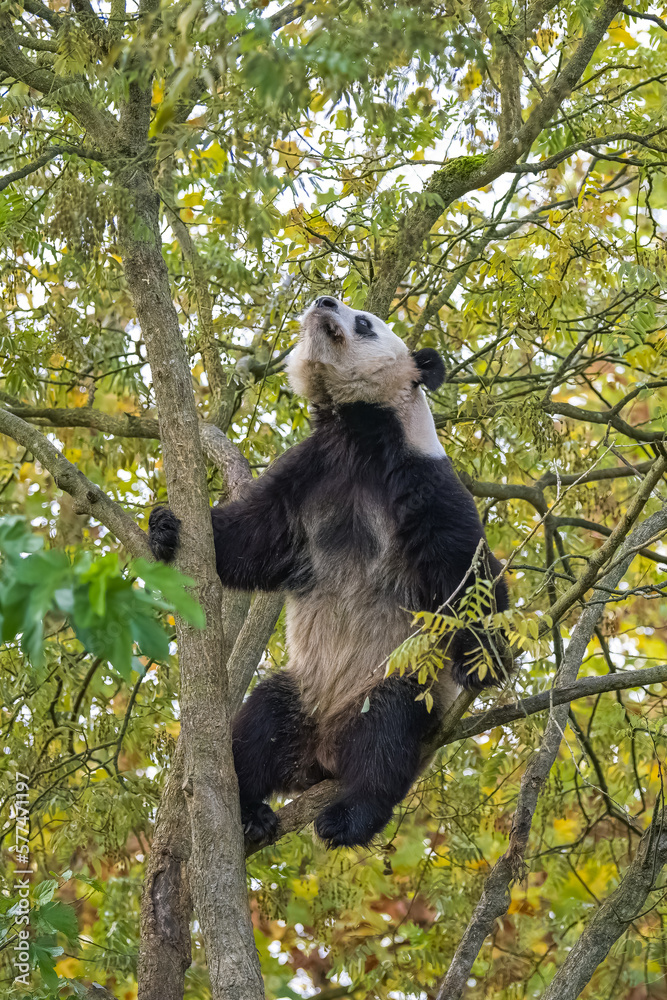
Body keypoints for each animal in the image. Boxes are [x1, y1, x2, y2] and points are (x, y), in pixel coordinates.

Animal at [149, 296, 510, 849]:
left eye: (365, 322)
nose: (324, 301)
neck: (357, 433)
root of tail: (320, 756)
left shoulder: (422, 478)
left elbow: (468, 572)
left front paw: (487, 659)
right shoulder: (310, 470)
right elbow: (252, 538)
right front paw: (165, 528)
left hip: (400, 678)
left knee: (385, 739)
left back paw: (347, 817)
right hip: (300, 688)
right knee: (257, 727)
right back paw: (248, 810)